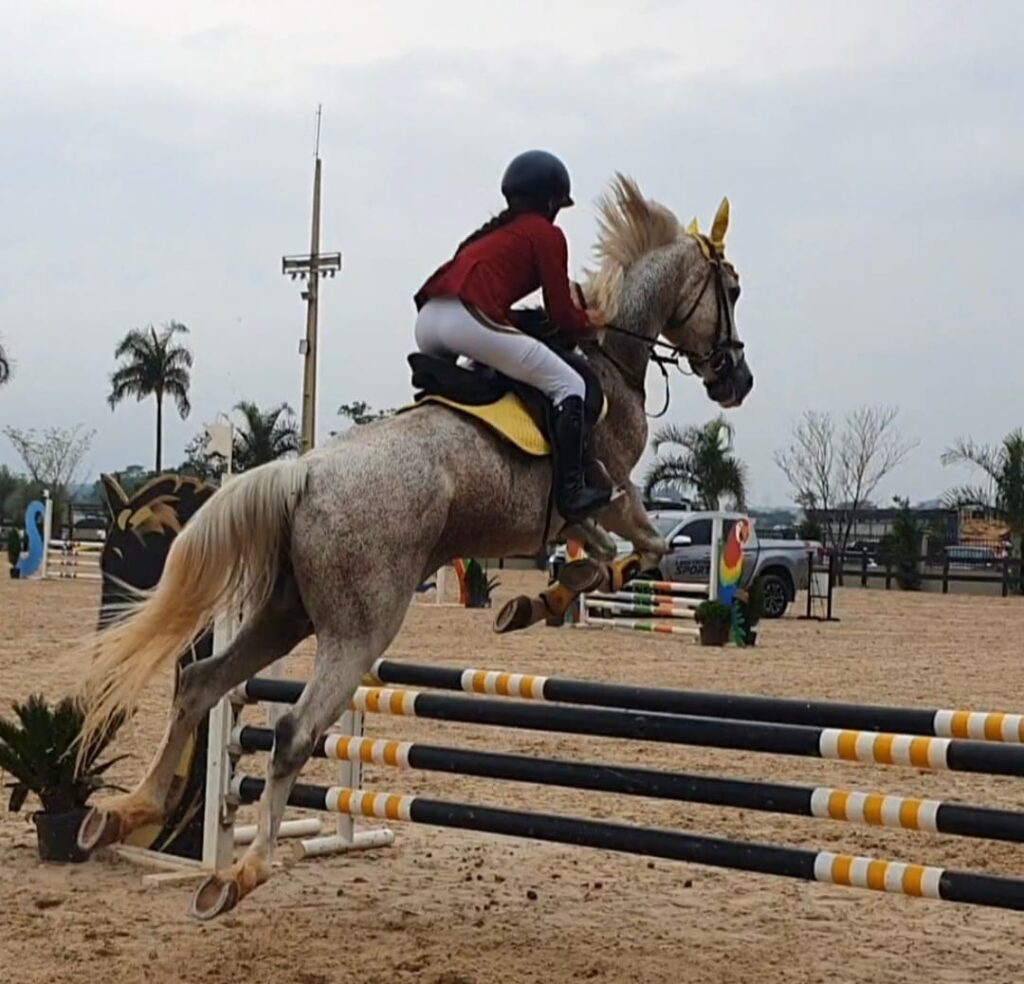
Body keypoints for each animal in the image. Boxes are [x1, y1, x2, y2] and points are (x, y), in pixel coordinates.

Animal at [75, 173, 753, 917]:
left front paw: (533, 604)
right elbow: (642, 552)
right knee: (292, 731)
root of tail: (304, 473)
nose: (737, 382)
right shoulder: (613, 492)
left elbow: (601, 557)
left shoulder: (574, 517)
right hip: (360, 627)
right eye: (733, 288)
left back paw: (128, 811)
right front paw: (545, 600)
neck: (608, 360)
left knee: (201, 684)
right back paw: (240, 872)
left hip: (288, 611)